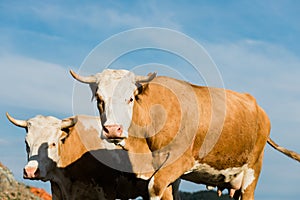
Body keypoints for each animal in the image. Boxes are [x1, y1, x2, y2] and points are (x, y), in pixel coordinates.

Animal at [71, 69, 300, 200]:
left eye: (130, 98)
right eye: (99, 99)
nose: (113, 129)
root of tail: (258, 107)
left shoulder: (180, 161)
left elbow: (154, 188)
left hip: (252, 172)